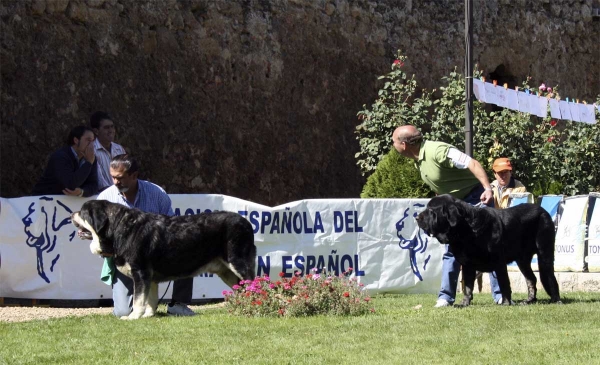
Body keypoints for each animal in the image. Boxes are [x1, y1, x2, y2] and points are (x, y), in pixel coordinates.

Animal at [71, 199, 256, 318]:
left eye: (82, 212)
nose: (72, 214)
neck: (119, 229)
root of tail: (246, 223)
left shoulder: (141, 272)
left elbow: (139, 299)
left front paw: (134, 316)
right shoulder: (150, 278)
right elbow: (150, 299)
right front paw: (148, 315)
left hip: (238, 263)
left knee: (254, 284)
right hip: (227, 272)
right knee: (241, 288)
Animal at [414, 195, 560, 306]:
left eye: (431, 210)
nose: (417, 217)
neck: (466, 230)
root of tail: (543, 211)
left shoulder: (499, 262)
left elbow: (504, 283)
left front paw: (505, 303)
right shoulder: (467, 265)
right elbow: (468, 287)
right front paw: (464, 303)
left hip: (544, 252)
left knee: (550, 277)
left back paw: (555, 300)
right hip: (522, 260)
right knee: (532, 279)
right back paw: (529, 300)